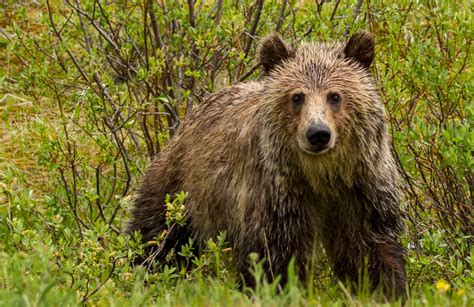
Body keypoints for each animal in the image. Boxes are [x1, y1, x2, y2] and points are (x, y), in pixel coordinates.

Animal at [128, 30, 406, 298]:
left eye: (334, 96)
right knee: (158, 238)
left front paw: (385, 290)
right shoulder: (278, 195)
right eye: (297, 97)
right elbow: (275, 256)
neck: (322, 177)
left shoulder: (362, 189)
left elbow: (370, 248)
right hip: (181, 189)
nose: (318, 133)